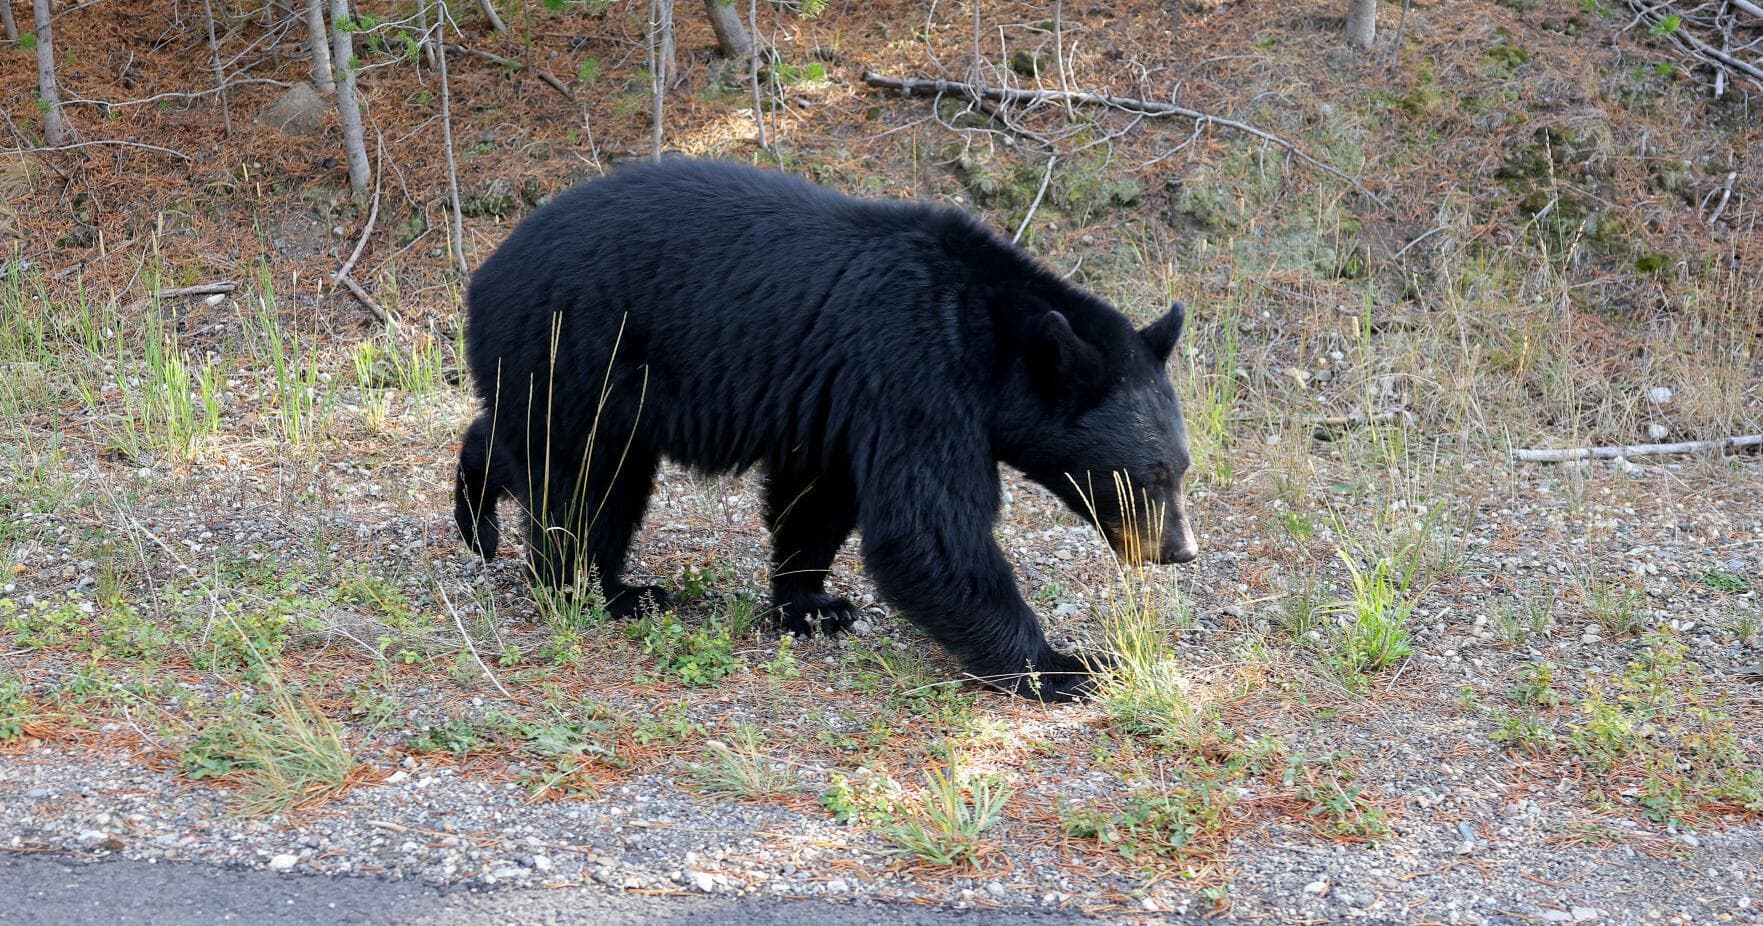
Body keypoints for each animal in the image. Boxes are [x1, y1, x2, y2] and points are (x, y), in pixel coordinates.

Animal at [454, 157, 1197, 701]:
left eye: (1183, 469)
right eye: (1150, 473)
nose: (1180, 550)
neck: (989, 333)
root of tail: (485, 273)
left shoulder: (842, 396)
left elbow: (819, 493)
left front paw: (811, 603)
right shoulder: (916, 370)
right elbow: (927, 529)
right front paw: (1066, 665)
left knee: (575, 468)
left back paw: (549, 548)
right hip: (575, 346)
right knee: (574, 476)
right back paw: (574, 584)